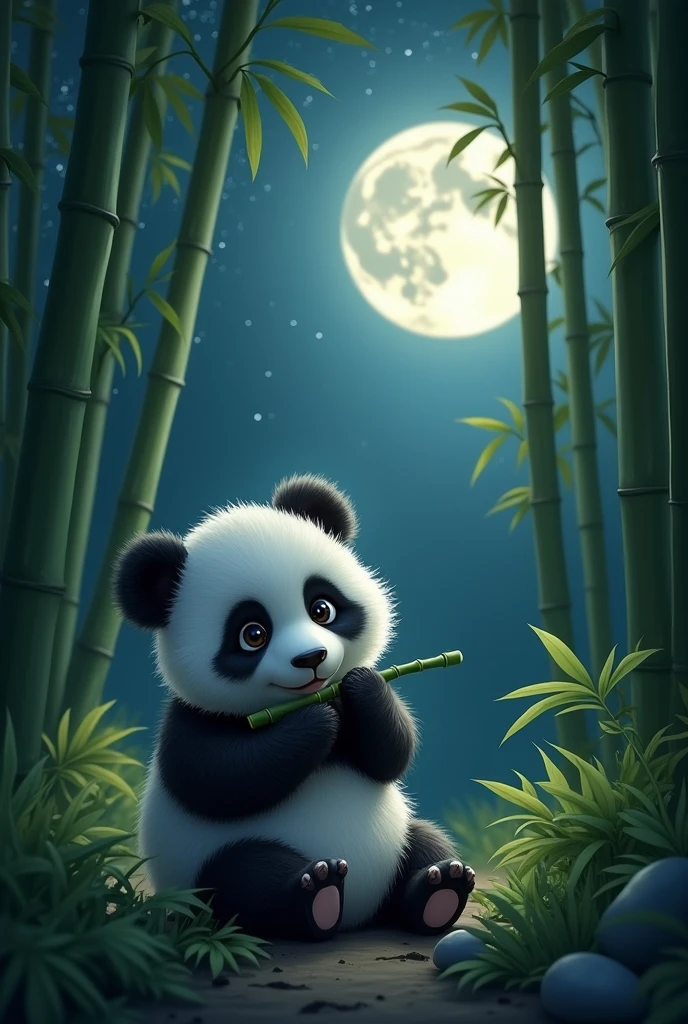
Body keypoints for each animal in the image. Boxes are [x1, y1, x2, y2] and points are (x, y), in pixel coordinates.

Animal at [114, 473, 474, 942]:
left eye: (322, 608)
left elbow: (393, 756)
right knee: (244, 879)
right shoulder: (190, 719)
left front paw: (361, 689)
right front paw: (317, 720)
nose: (312, 658)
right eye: (252, 634)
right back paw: (316, 894)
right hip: (205, 869)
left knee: (424, 842)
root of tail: (359, 914)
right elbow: (215, 778)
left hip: (399, 839)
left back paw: (439, 888)